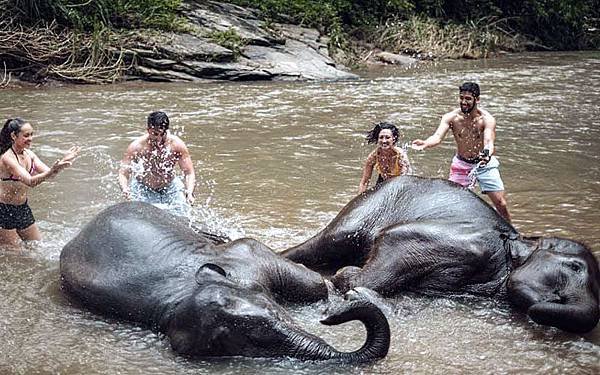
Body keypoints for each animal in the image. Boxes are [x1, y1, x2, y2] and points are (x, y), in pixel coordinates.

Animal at [58, 203, 392, 364]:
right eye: (233, 343)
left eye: (277, 312)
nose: (330, 318)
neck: (182, 293)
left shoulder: (249, 257)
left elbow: (314, 285)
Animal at [282, 175, 600, 334]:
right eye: (574, 267)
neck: (516, 242)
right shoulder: (465, 244)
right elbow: (392, 239)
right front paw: (349, 282)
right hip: (366, 209)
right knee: (329, 241)